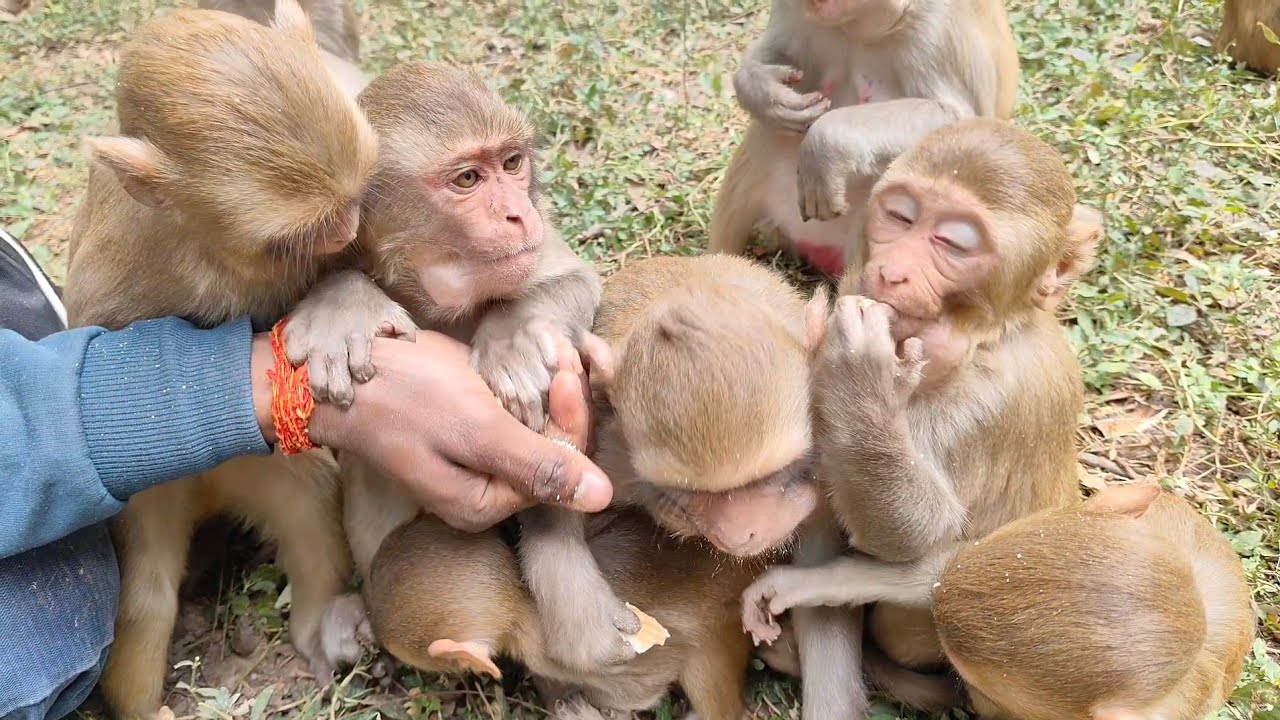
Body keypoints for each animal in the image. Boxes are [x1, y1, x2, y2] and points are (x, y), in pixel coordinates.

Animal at [60, 3, 380, 716]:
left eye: (355, 203)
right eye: (290, 239)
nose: (348, 232)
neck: (206, 248)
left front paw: (345, 304)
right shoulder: (123, 263)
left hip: (254, 469)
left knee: (309, 497)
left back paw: (317, 625)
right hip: (161, 494)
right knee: (146, 596)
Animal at [709, 0, 1019, 277]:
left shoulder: (939, 24)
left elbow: (961, 123)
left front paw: (827, 140)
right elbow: (779, 53)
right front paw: (761, 90)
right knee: (768, 134)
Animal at [737, 118, 1105, 718]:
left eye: (953, 243)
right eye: (901, 216)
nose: (892, 273)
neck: (974, 346)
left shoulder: (1001, 403)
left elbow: (929, 537)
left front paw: (861, 376)